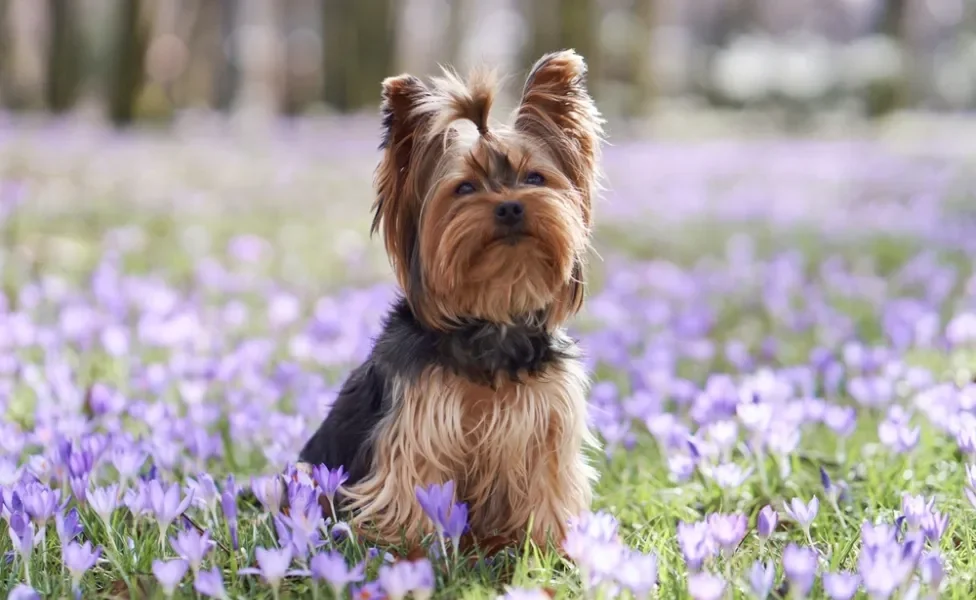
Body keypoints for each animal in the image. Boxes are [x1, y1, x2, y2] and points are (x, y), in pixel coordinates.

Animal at [298, 49, 604, 552]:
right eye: (464, 188)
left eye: (534, 177)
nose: (511, 206)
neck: (493, 317)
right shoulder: (420, 425)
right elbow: (413, 488)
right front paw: (413, 553)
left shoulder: (545, 424)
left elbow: (547, 487)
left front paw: (550, 549)